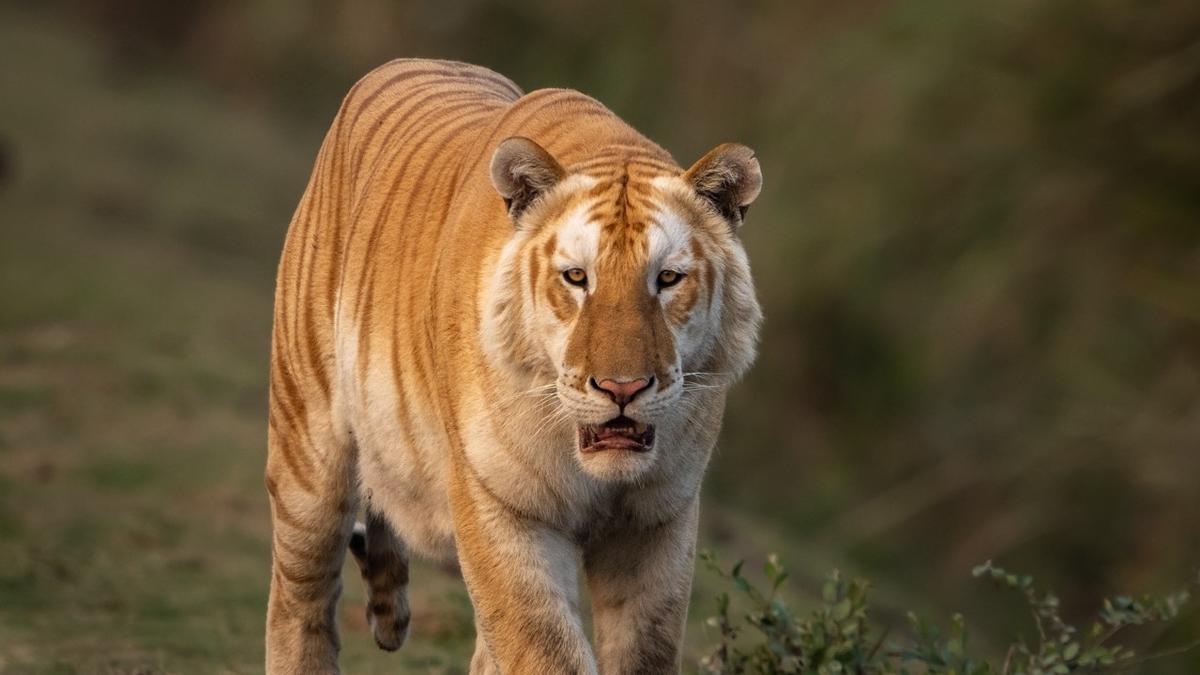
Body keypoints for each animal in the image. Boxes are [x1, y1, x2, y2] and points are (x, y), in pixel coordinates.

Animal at [264, 58, 763, 674]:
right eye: (577, 278)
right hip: (307, 452)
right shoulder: (501, 506)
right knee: (300, 600)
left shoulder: (657, 521)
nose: (622, 387)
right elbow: (546, 649)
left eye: (667, 278)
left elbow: (642, 651)